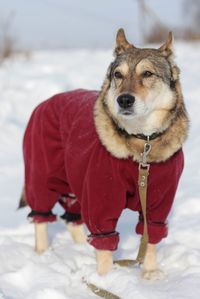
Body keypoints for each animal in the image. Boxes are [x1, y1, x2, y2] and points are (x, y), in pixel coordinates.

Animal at [19, 29, 188, 280]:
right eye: (118, 74)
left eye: (147, 73)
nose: (124, 100)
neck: (142, 142)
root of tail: (46, 101)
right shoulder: (101, 196)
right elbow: (104, 242)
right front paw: (107, 279)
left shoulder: (159, 200)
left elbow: (151, 236)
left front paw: (149, 273)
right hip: (42, 174)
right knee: (40, 216)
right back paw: (42, 254)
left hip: (75, 182)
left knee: (72, 220)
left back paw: (80, 247)